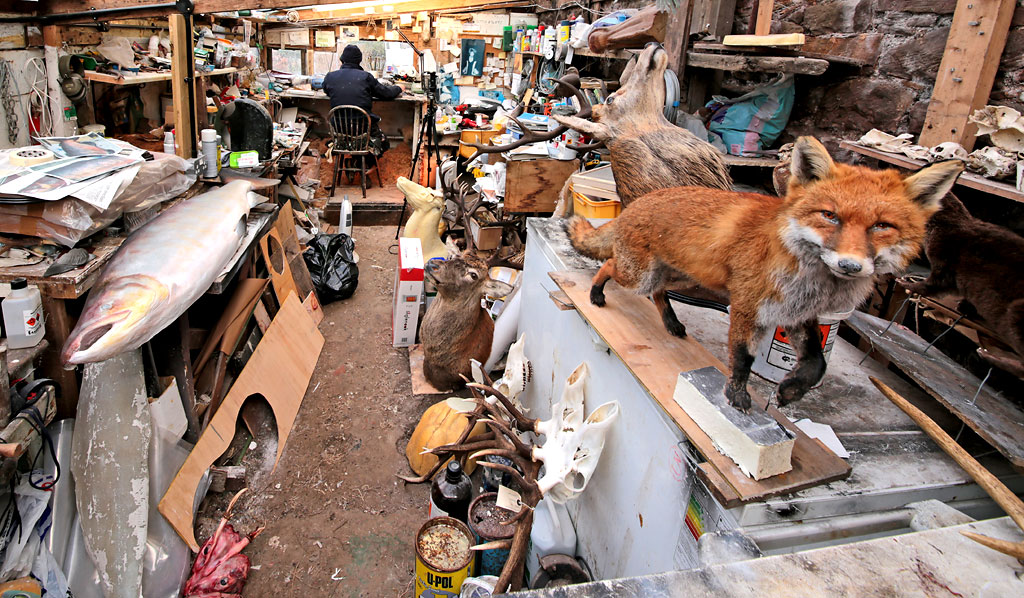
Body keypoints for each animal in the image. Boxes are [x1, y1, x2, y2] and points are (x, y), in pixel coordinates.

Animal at [569, 136, 958, 409]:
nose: (850, 265)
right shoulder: (747, 305)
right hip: (639, 274)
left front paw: (790, 391)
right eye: (829, 216)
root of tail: (634, 205)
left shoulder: (797, 313)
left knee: (659, 293)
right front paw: (737, 397)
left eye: (882, 226)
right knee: (609, 266)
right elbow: (743, 357)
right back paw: (596, 294)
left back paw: (672, 323)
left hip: (684, 278)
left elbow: (816, 363)